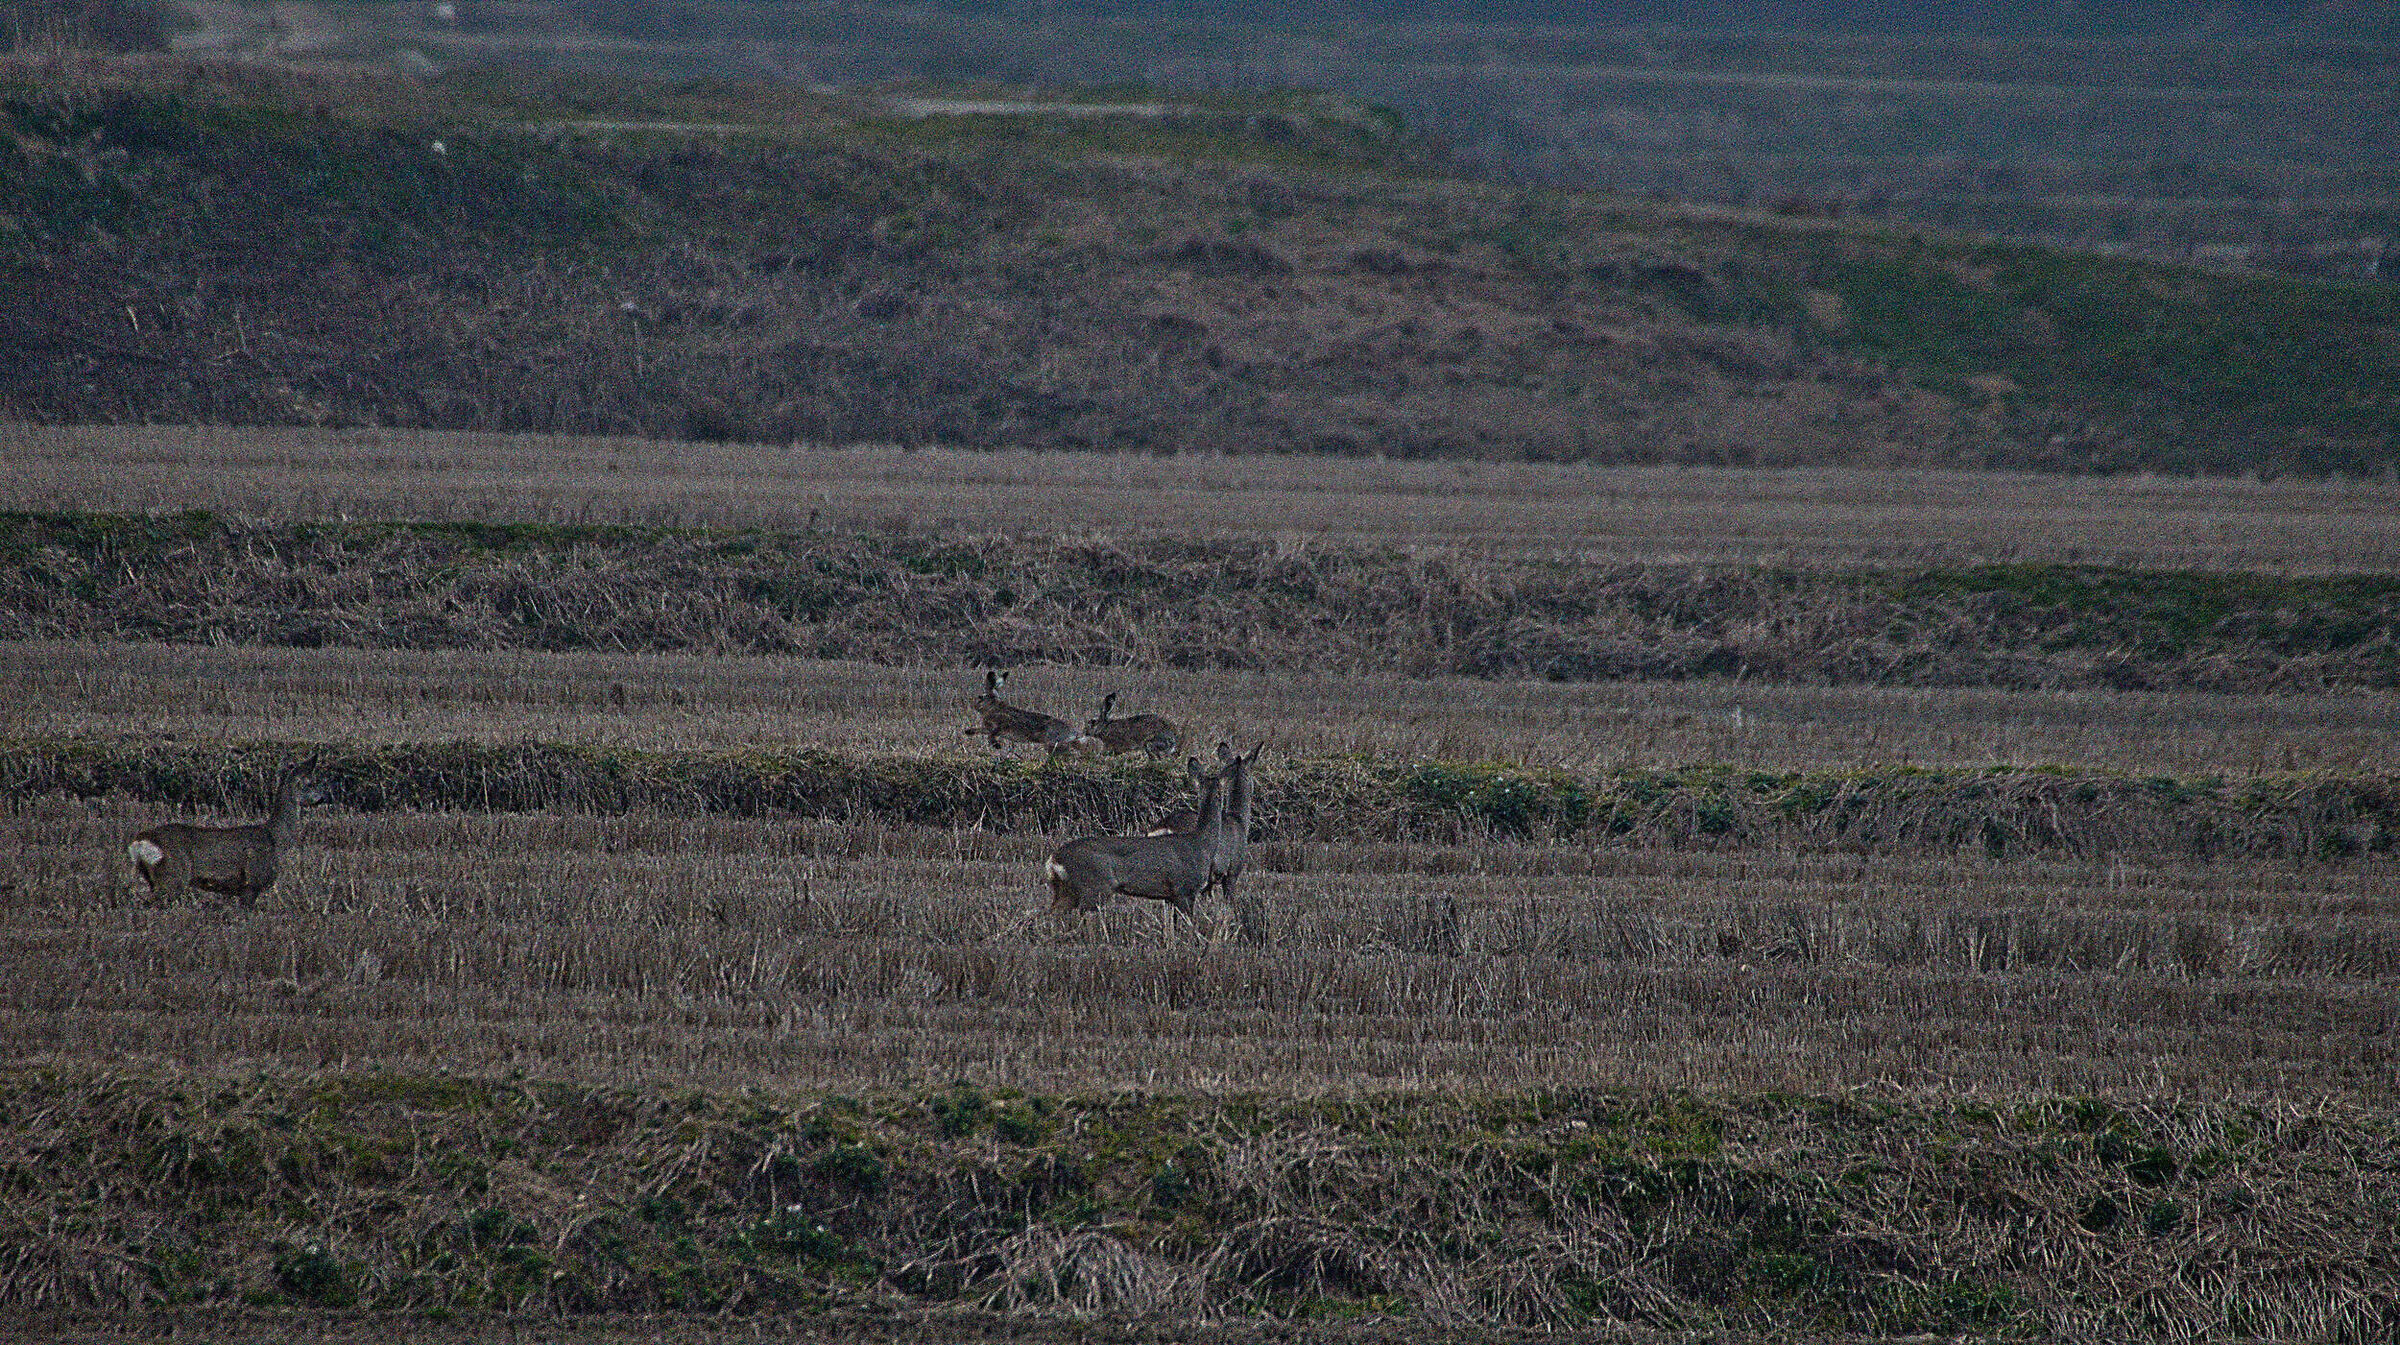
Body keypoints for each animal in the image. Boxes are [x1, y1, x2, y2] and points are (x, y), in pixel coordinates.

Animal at [127, 760, 330, 906]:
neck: (275, 838)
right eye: (310, 783)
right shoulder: (252, 883)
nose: (323, 797)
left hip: (152, 877)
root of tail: (140, 842)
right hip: (173, 876)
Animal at [964, 670, 1100, 757]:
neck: (993, 707)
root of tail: (1075, 734)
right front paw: (969, 731)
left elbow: (991, 734)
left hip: (1053, 743)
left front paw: (996, 745)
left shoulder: (1003, 724)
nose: (973, 704)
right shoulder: (989, 727)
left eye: (980, 697)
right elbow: (983, 730)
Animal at [1044, 755, 1233, 942]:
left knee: (1051, 913)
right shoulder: (1185, 889)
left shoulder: (1171, 896)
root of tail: (1053, 860)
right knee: (1084, 916)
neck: (1202, 845)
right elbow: (1190, 925)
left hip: (1066, 890)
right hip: (1094, 887)